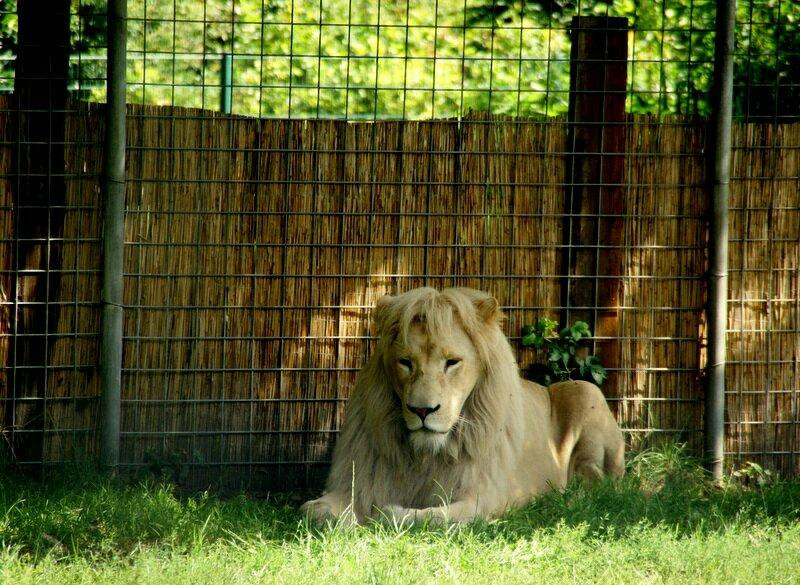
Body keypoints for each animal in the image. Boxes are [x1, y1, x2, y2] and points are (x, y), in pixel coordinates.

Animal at [302, 286, 624, 524]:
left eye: (452, 362)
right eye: (405, 362)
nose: (422, 410)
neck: (425, 456)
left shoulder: (482, 499)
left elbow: (428, 517)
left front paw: (387, 513)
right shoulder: (358, 483)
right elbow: (314, 511)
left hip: (585, 390)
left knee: (599, 483)